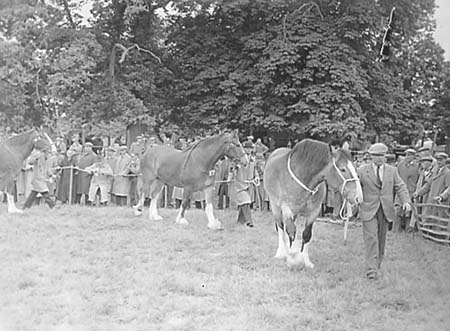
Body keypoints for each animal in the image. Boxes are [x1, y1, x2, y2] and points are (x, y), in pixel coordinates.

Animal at [264, 139, 362, 268]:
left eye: (355, 168)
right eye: (342, 169)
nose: (358, 197)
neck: (303, 178)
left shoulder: (314, 212)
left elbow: (306, 235)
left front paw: (305, 261)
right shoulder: (287, 209)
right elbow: (291, 231)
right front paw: (292, 257)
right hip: (275, 206)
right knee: (280, 227)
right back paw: (281, 252)